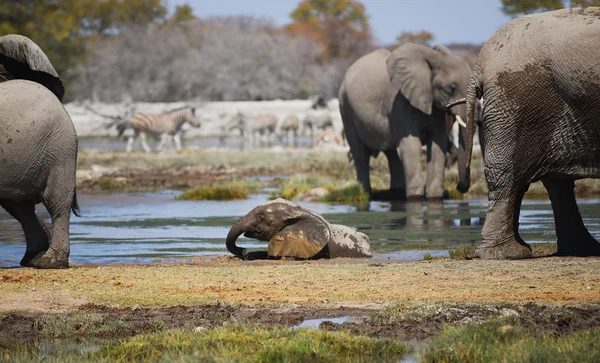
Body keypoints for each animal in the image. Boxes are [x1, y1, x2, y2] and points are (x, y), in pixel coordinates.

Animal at [338, 44, 474, 202]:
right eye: (450, 88)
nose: (458, 187)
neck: (435, 58)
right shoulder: (400, 103)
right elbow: (411, 146)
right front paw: (415, 198)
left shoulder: (435, 107)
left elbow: (436, 146)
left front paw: (434, 197)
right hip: (345, 108)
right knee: (360, 154)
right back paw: (364, 194)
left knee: (392, 156)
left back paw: (396, 193)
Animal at [452, 7, 600, 260]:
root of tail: (481, 63)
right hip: (518, 102)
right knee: (510, 176)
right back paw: (511, 253)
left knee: (553, 181)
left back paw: (582, 249)